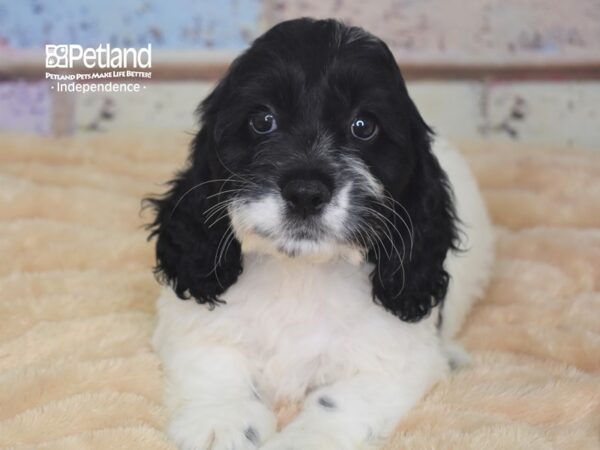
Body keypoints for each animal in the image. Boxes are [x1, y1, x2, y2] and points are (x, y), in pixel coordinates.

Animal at [148, 18, 494, 450]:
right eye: (262, 121)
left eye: (363, 126)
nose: (306, 192)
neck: (301, 274)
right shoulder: (192, 325)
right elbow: (217, 366)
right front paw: (222, 421)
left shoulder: (397, 360)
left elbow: (341, 401)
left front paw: (305, 438)